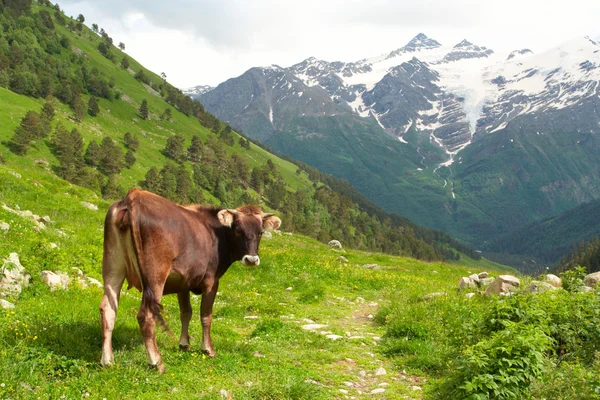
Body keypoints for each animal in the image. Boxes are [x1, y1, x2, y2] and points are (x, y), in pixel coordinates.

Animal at [99, 188, 282, 372]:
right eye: (238, 230)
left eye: (260, 232)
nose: (251, 259)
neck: (217, 235)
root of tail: (134, 196)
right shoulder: (211, 281)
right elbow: (206, 316)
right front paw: (208, 349)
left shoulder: (183, 282)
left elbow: (186, 312)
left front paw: (184, 344)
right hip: (155, 276)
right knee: (146, 315)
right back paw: (157, 362)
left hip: (113, 266)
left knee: (107, 308)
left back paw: (107, 360)